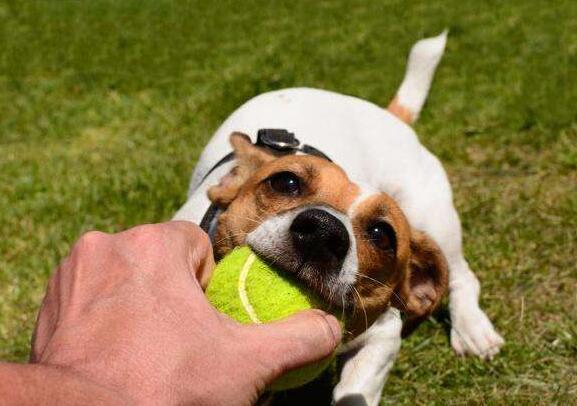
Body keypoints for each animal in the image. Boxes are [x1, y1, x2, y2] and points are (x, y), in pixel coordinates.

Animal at [174, 32, 504, 406]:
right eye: (285, 182)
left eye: (382, 234)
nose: (322, 232)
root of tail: (388, 115)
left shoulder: (384, 332)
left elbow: (356, 390)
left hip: (435, 220)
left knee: (463, 276)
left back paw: (473, 329)